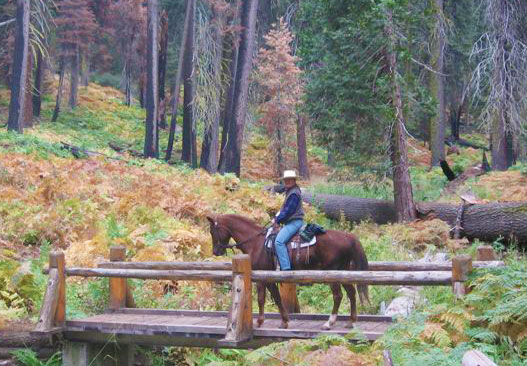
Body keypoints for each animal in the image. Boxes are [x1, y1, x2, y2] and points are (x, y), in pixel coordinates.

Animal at [204, 213, 370, 330]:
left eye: (213, 231)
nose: (215, 251)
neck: (256, 243)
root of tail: (349, 237)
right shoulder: (265, 278)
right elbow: (269, 298)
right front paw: (276, 321)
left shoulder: (265, 278)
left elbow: (269, 298)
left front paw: (271, 321)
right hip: (344, 273)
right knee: (351, 293)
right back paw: (351, 321)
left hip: (332, 274)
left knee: (338, 296)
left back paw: (329, 323)